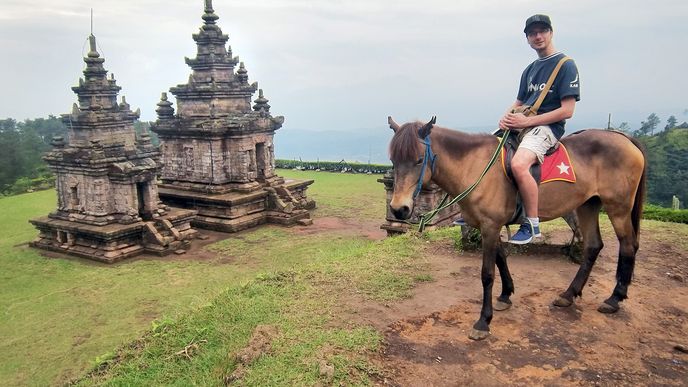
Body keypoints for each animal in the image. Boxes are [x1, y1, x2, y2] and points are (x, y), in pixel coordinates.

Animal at [388, 116, 644, 342]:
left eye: (419, 160)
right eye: (392, 161)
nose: (399, 209)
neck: (475, 167)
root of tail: (623, 138)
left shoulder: (490, 226)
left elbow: (487, 273)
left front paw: (483, 321)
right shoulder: (490, 225)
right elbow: (501, 259)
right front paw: (505, 295)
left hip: (618, 207)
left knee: (628, 246)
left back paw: (614, 298)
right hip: (588, 205)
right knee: (593, 246)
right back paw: (568, 294)